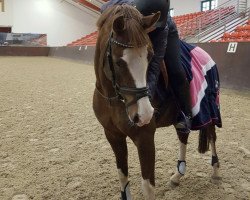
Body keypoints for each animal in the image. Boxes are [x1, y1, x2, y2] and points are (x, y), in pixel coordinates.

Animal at [93, 4, 220, 200]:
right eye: (118, 62)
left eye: (150, 56)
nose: (144, 115)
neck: (114, 100)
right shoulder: (113, 135)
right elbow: (123, 178)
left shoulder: (144, 138)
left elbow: (148, 187)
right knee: (183, 135)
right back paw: (177, 176)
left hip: (210, 109)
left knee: (212, 136)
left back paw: (215, 171)